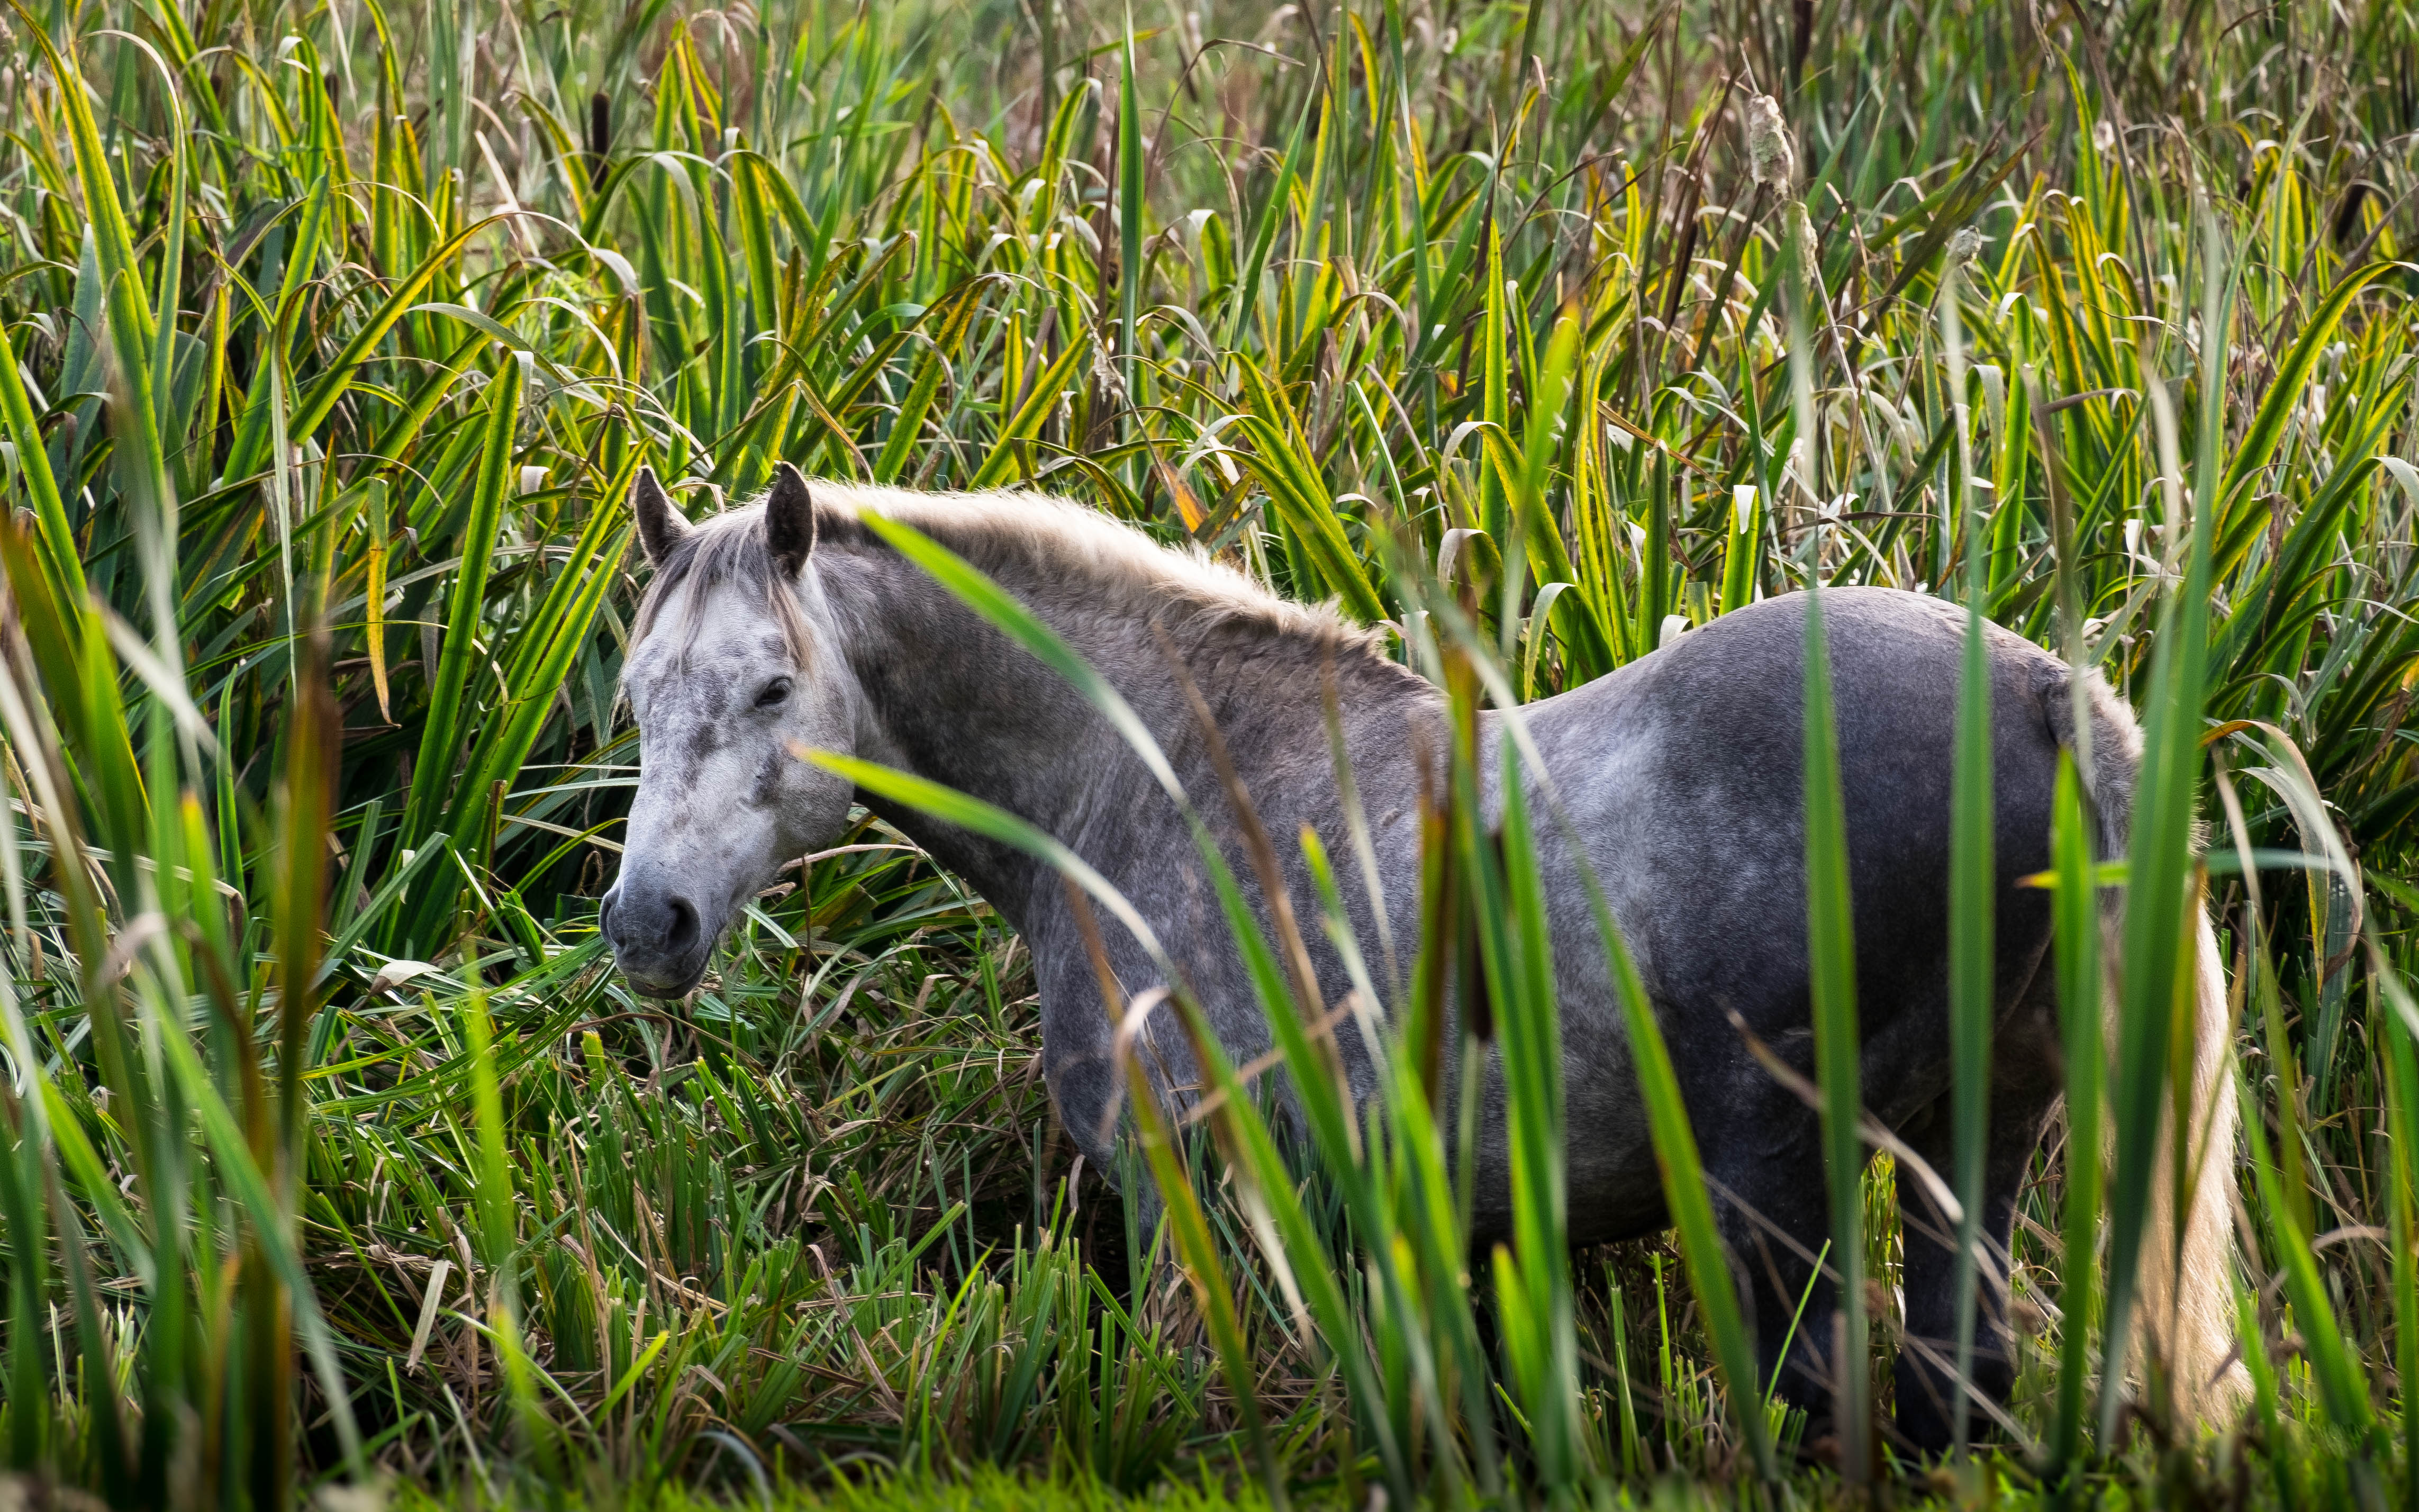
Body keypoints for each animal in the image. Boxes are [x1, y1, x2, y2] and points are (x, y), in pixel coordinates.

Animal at [599, 462, 2241, 1452]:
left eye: (773, 686)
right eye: (635, 693)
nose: (645, 924)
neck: (1158, 772)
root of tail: (2036, 693)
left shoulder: (1187, 1202)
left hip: (1783, 1190)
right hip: (1977, 1151)